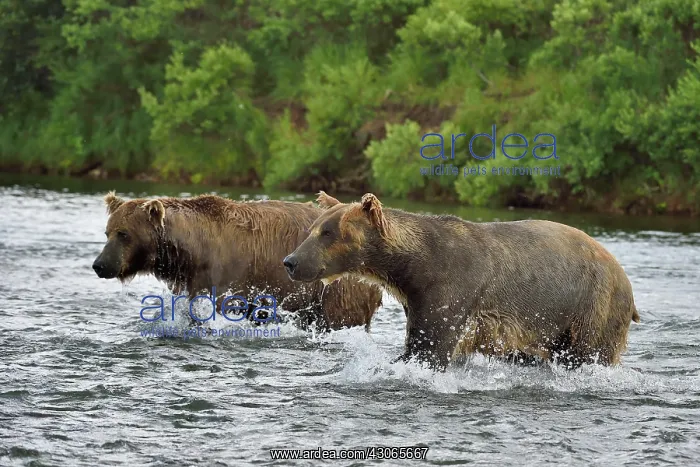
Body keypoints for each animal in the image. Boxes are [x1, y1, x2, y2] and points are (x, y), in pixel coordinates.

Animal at [91, 192, 382, 331]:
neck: (192, 251)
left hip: (337, 289)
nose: (100, 264)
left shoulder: (229, 274)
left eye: (124, 234)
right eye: (107, 232)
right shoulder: (194, 279)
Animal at [282, 191, 641, 370]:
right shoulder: (416, 297)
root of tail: (622, 272)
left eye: (328, 232)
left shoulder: (451, 286)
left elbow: (431, 345)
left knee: (589, 352)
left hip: (592, 303)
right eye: (314, 227)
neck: (413, 266)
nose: (291, 261)